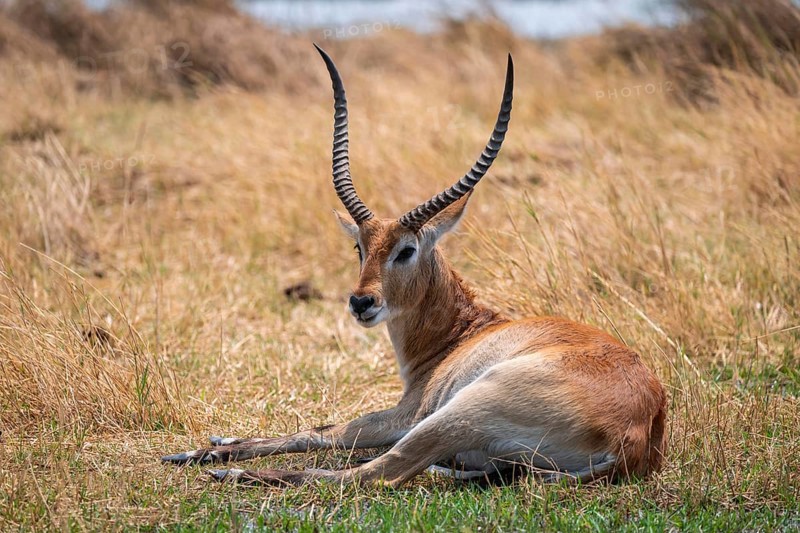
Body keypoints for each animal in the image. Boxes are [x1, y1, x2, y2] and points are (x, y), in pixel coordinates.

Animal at [161, 45, 667, 487]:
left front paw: (204, 451)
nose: (361, 303)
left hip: (458, 412)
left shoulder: (405, 413)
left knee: (375, 472)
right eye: (360, 247)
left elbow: (325, 430)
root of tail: (637, 433)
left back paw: (231, 474)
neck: (459, 336)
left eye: (406, 249)